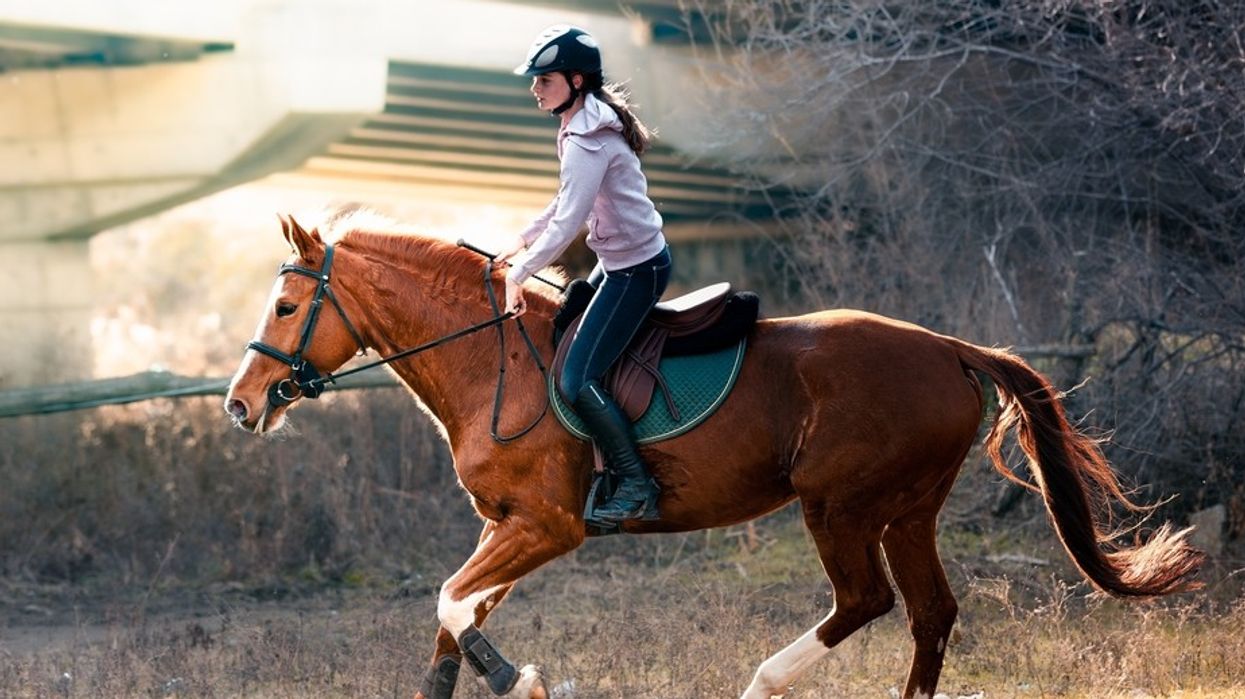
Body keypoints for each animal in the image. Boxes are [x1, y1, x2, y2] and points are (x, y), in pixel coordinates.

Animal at [224, 211, 1202, 699]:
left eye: (285, 306)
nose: (240, 404)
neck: (491, 359)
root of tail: (946, 347)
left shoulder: (546, 526)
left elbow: (452, 606)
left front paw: (523, 681)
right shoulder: (504, 528)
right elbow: (451, 615)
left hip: (838, 505)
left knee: (866, 602)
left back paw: (761, 683)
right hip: (907, 508)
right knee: (929, 613)